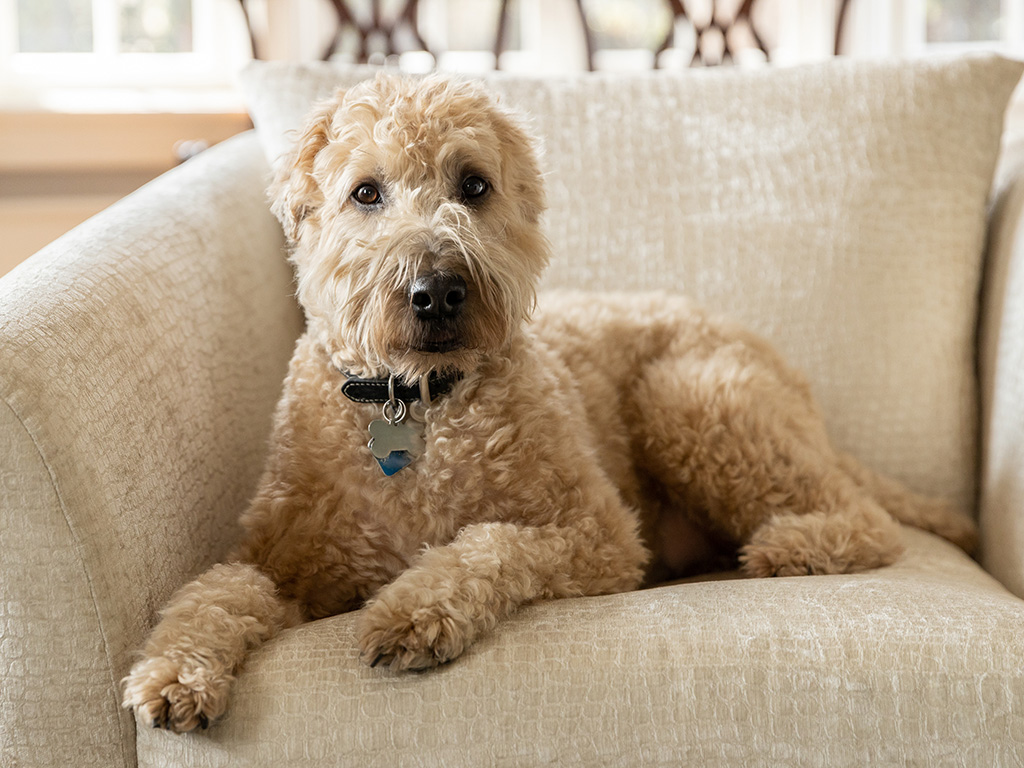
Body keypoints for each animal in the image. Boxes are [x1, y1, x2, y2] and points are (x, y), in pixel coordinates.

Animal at [121, 75, 974, 737]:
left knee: (867, 518)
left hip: (690, 397)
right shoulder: (277, 561)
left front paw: (412, 610)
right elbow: (214, 593)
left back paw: (788, 547)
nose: (438, 291)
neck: (418, 406)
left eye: (473, 184)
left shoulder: (599, 536)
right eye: (365, 192)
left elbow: (490, 544)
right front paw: (173, 672)